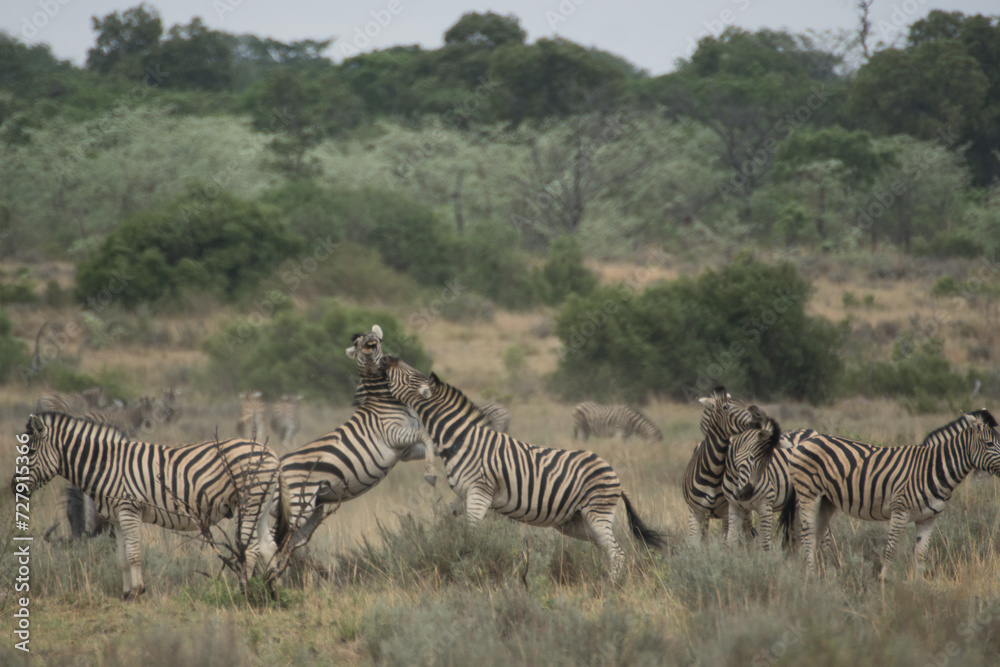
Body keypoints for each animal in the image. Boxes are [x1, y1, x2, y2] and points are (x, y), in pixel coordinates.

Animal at [14, 412, 290, 600]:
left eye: (31, 452)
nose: (14, 486)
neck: (107, 465)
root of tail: (272, 454)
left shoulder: (129, 508)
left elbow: (134, 554)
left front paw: (137, 591)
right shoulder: (115, 517)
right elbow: (122, 558)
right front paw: (126, 593)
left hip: (249, 501)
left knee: (250, 548)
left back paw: (244, 592)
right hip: (261, 504)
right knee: (269, 546)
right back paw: (275, 593)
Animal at [276, 326, 441, 551]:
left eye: (377, 340)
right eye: (357, 344)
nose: (370, 341)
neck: (384, 399)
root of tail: (277, 464)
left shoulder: (406, 451)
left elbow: (433, 444)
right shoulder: (394, 434)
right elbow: (426, 436)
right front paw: (430, 474)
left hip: (314, 508)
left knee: (286, 546)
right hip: (297, 504)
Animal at [378, 354, 665, 580]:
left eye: (411, 374)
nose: (388, 357)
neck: (461, 440)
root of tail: (614, 473)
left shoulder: (480, 493)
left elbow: (471, 535)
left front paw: (470, 566)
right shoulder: (464, 495)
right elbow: (453, 524)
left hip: (597, 513)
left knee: (617, 552)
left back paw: (610, 586)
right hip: (576, 522)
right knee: (608, 549)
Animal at [682, 387, 762, 544]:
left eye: (743, 402)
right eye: (725, 407)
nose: (757, 416)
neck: (712, 472)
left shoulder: (726, 512)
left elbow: (725, 540)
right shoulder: (695, 512)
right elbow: (695, 544)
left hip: (744, 507)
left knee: (748, 533)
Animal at [782, 410, 1000, 578]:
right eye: (990, 444)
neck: (931, 468)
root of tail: (807, 440)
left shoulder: (928, 519)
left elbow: (921, 555)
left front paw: (919, 589)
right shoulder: (900, 511)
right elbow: (891, 550)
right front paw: (884, 583)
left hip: (826, 501)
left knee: (817, 536)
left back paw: (823, 574)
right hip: (808, 494)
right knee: (807, 535)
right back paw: (811, 576)